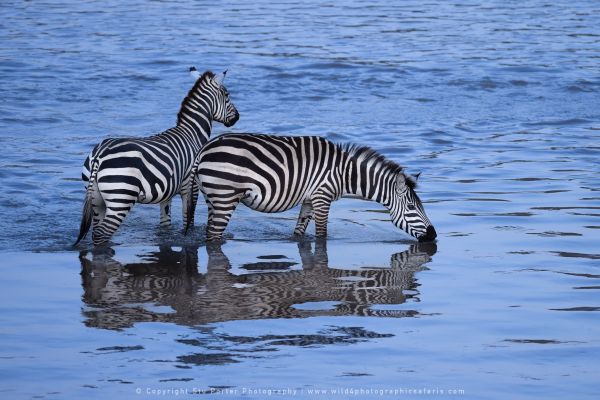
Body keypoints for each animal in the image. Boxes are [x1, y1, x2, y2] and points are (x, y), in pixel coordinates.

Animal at [76, 67, 240, 245]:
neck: (192, 134)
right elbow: (188, 220)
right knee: (102, 233)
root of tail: (99, 155)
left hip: (97, 199)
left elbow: (165, 223)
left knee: (97, 231)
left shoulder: (166, 194)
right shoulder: (190, 188)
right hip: (121, 197)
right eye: (227, 95)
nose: (237, 117)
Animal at [186, 134, 436, 241]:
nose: (433, 236)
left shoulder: (309, 199)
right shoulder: (322, 197)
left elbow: (299, 232)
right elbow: (322, 235)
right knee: (213, 237)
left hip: (212, 198)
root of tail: (203, 150)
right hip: (224, 197)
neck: (344, 173)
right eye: (412, 208)